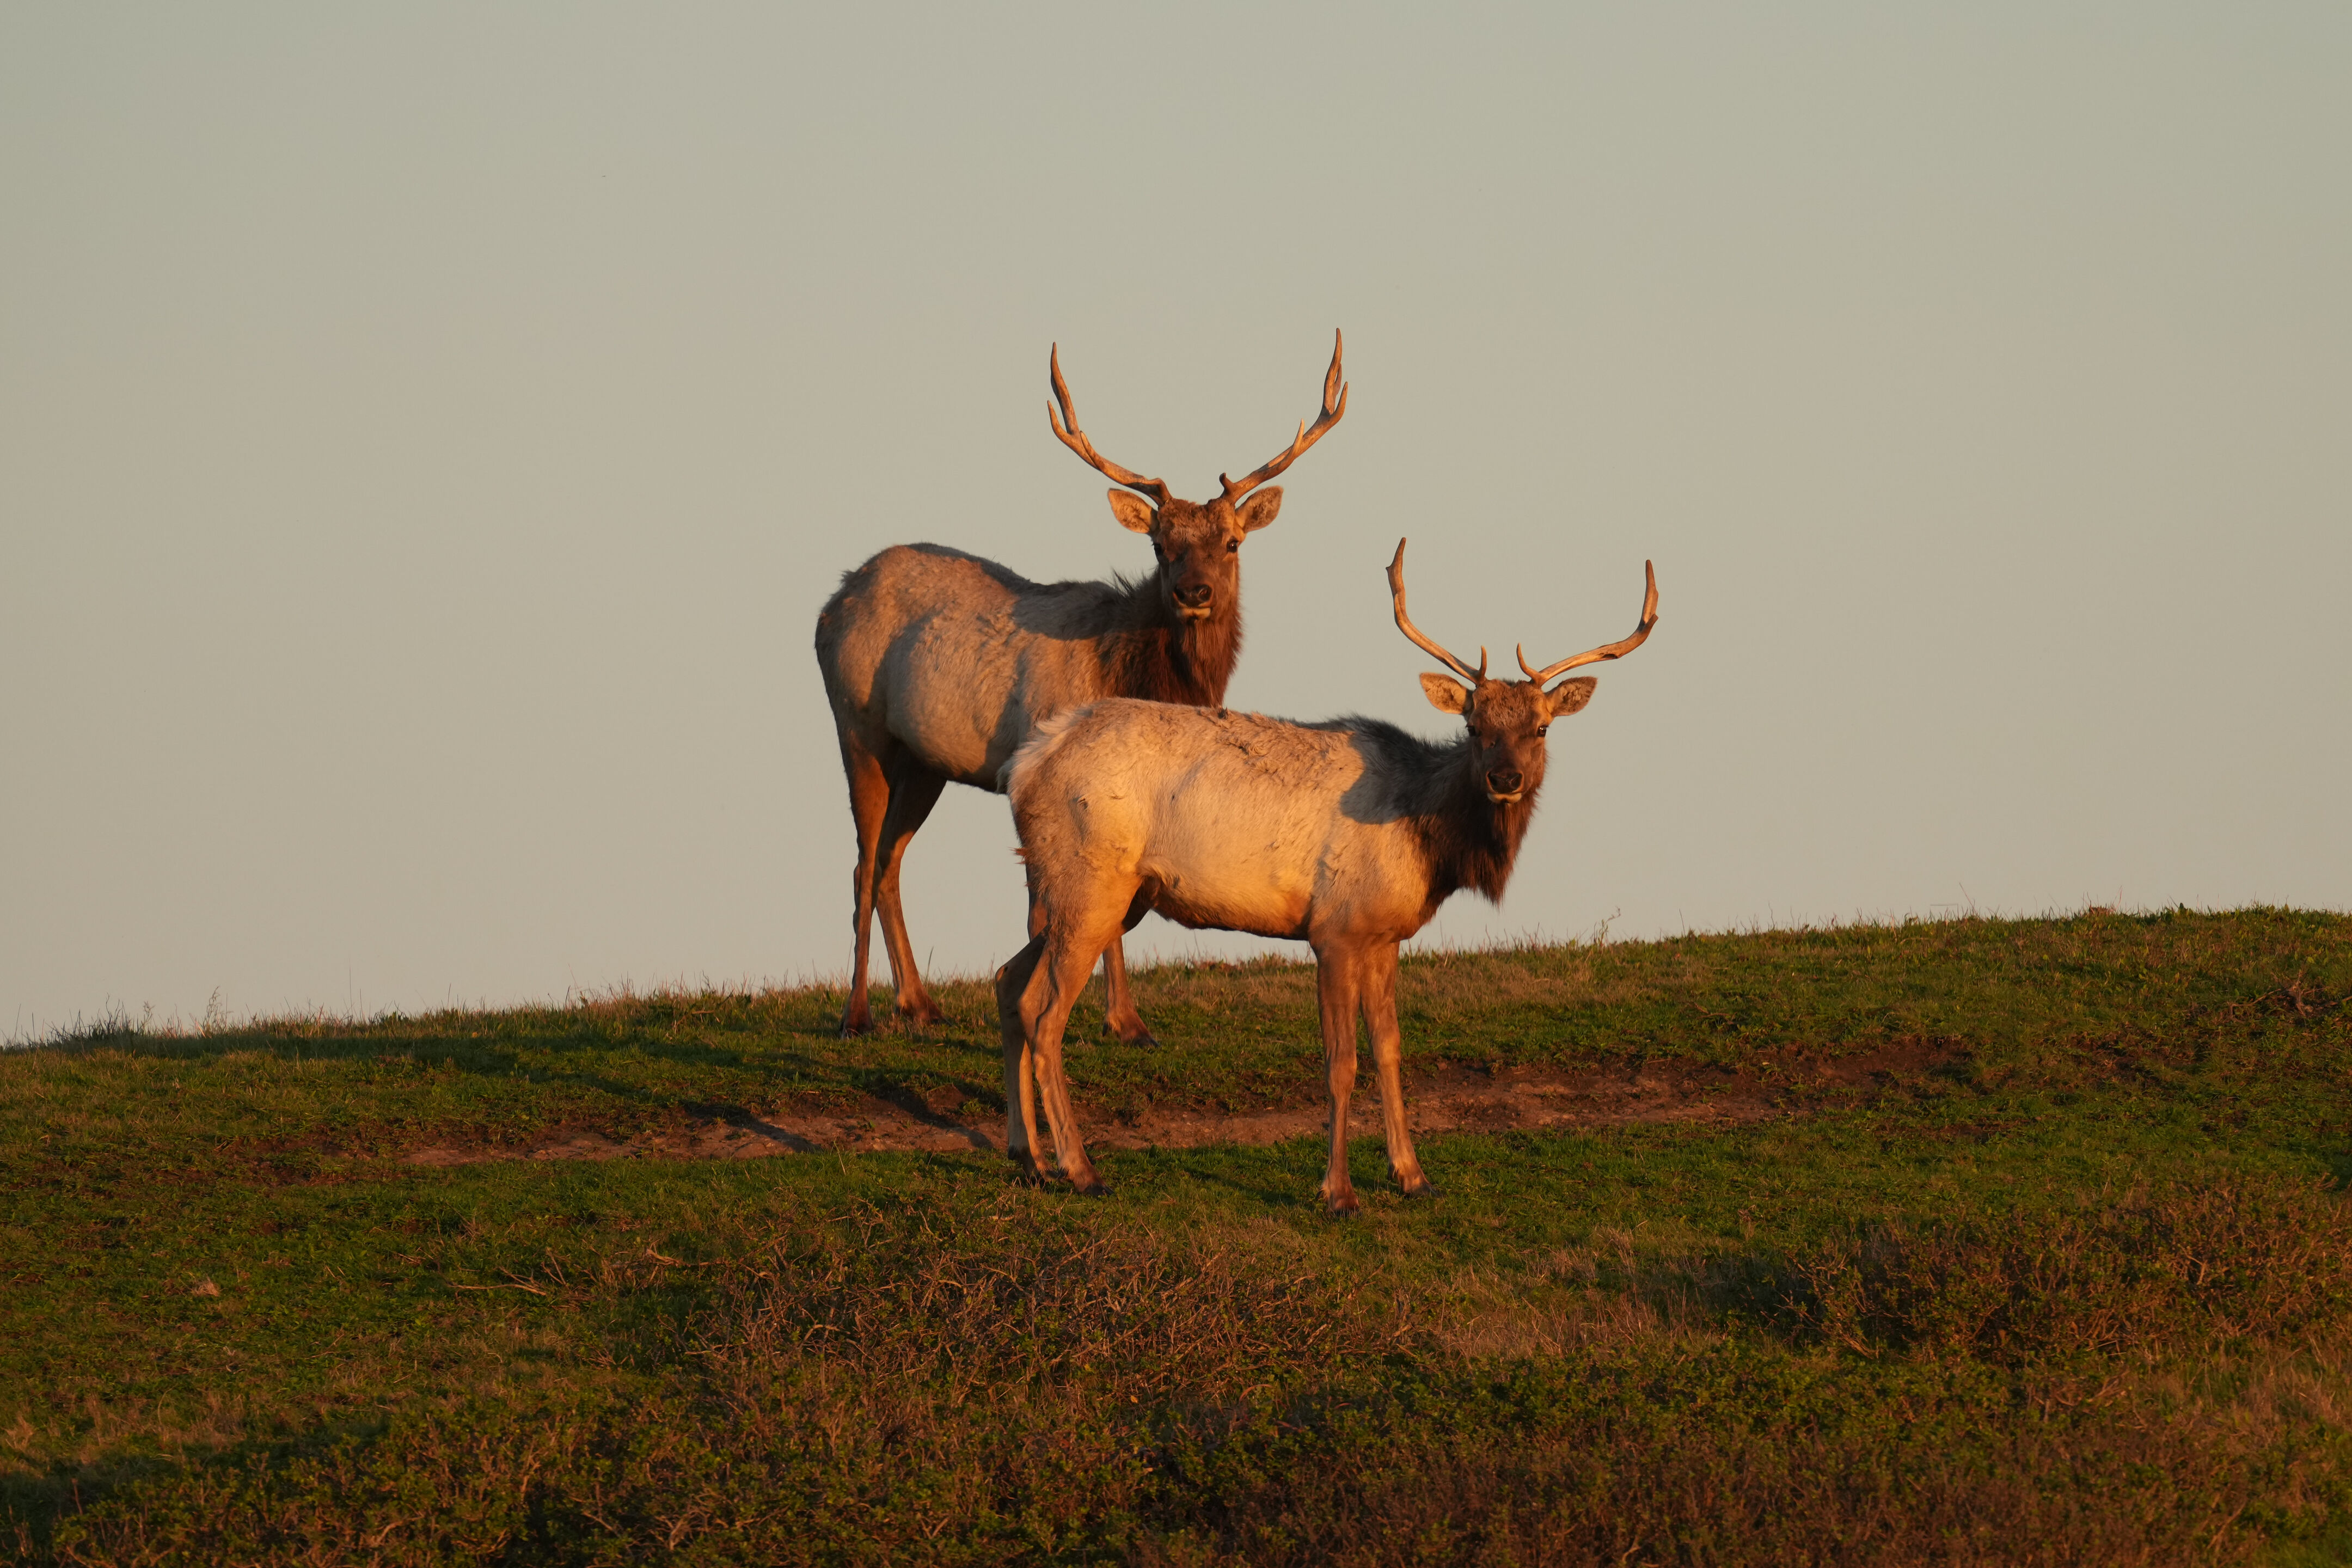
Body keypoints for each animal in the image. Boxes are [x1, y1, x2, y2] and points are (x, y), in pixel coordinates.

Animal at [814, 334, 1349, 1038]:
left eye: (1232, 543)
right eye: (1160, 545)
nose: (1194, 592)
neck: (1134, 673)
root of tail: (830, 604)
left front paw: (1125, 1020)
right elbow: (1064, 913)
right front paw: (1112, 1019)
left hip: (926, 761)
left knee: (887, 863)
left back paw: (919, 1003)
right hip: (857, 725)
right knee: (860, 861)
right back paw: (857, 1013)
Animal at [994, 538, 1659, 1214]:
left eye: (1541, 727)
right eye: (1474, 727)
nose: (1506, 779)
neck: (1427, 844)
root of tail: (1026, 765)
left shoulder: (1385, 936)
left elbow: (1389, 1050)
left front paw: (1412, 1175)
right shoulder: (1333, 930)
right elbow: (1341, 1062)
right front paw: (1338, 1192)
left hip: (1092, 893)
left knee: (1008, 983)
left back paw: (1031, 1158)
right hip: (1092, 882)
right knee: (1045, 1014)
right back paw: (1080, 1169)